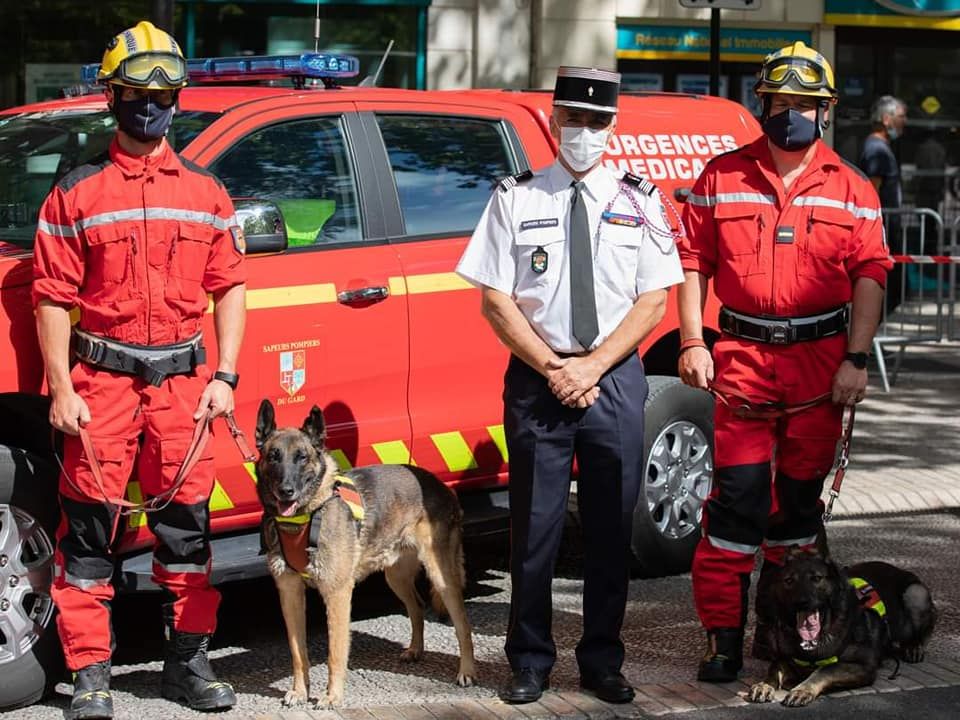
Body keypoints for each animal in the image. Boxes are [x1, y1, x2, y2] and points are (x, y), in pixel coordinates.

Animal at [255, 402, 476, 704]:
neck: (305, 516)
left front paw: (332, 697)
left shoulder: (337, 593)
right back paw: (415, 650)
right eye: (273, 457)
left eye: (302, 457)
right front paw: (300, 692)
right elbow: (297, 652)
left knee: (462, 623)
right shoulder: (289, 593)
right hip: (396, 578)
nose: (286, 491)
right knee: (417, 607)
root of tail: (440, 485)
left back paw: (467, 671)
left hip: (442, 577)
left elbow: (335, 652)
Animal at [752, 548, 936, 704]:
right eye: (789, 580)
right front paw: (764, 685)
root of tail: (898, 569)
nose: (801, 602)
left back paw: (914, 646)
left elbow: (825, 669)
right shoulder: (785, 658)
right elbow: (774, 669)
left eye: (817, 578)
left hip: (915, 593)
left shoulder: (863, 666)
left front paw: (802, 690)